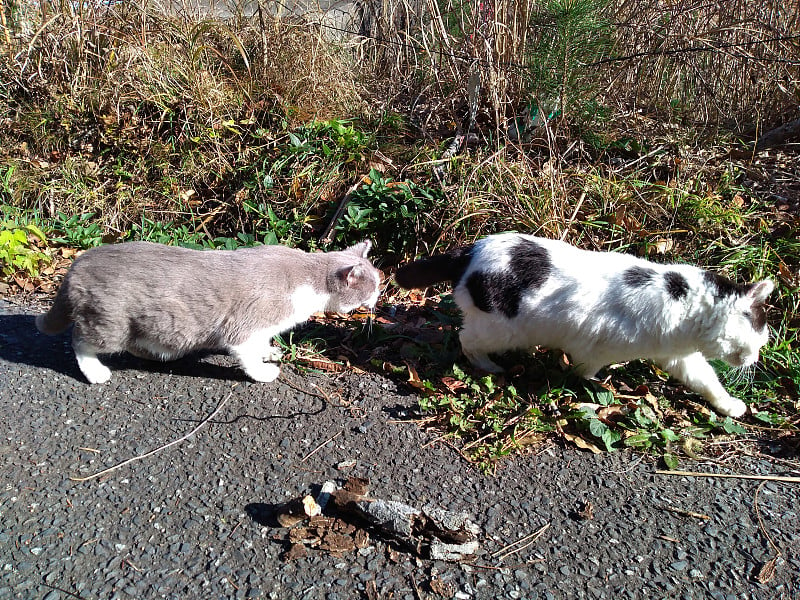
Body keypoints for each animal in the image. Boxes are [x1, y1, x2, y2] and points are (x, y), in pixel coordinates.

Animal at [33, 240, 378, 384]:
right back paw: (95, 372)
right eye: (373, 287)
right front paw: (264, 372)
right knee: (80, 340)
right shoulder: (244, 327)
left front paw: (269, 351)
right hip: (110, 322)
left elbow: (262, 344)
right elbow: (247, 354)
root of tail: (78, 263)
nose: (377, 301)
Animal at [396, 233, 772, 418]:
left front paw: (730, 406)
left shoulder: (680, 356)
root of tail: (469, 251)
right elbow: (585, 372)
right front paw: (599, 389)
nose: (756, 360)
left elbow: (707, 381)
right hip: (500, 329)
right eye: (759, 340)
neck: (686, 306)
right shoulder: (592, 347)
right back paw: (492, 366)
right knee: (466, 340)